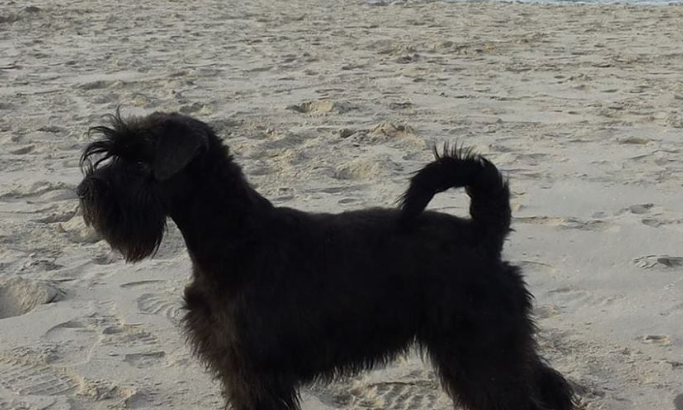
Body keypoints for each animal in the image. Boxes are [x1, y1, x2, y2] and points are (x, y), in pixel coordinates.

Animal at [77, 111, 576, 410]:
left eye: (140, 162)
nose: (85, 191)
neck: (236, 239)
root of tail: (483, 233)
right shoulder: (239, 370)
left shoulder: (255, 373)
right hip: (494, 344)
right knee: (546, 382)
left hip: (479, 348)